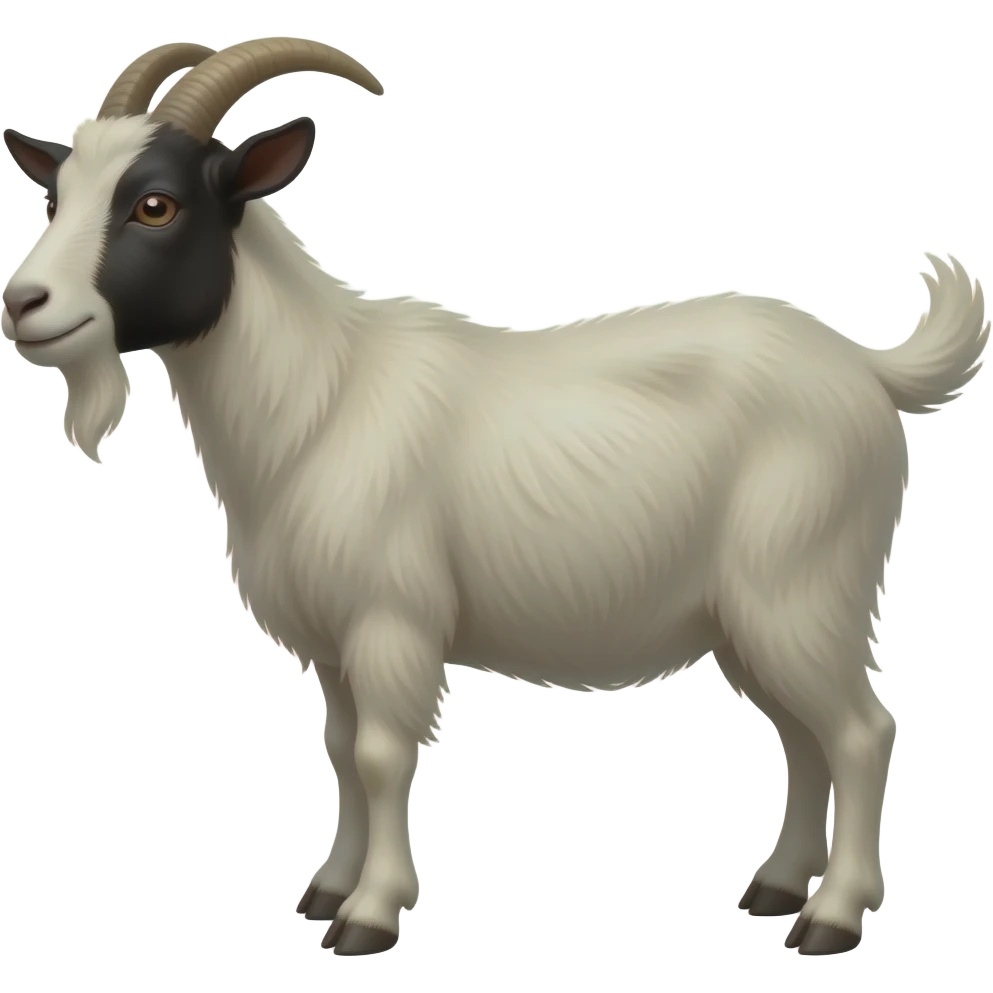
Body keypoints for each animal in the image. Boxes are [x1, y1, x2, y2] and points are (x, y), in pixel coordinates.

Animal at [2, 38, 989, 959]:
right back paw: (778, 886)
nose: (24, 302)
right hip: (751, 614)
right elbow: (338, 749)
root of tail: (866, 370)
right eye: (57, 196)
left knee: (860, 731)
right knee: (803, 734)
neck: (319, 398)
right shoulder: (331, 639)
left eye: (155, 203)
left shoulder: (389, 620)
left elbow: (379, 754)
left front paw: (369, 914)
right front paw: (327, 889)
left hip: (801, 586)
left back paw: (831, 915)